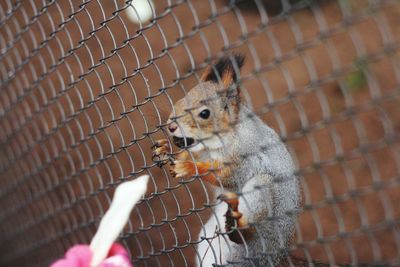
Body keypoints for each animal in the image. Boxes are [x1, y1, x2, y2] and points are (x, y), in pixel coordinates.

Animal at [152, 54, 300, 266]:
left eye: (205, 113)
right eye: (179, 100)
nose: (171, 126)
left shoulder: (245, 157)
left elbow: (226, 176)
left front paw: (188, 167)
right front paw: (165, 150)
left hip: (262, 191)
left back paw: (239, 227)